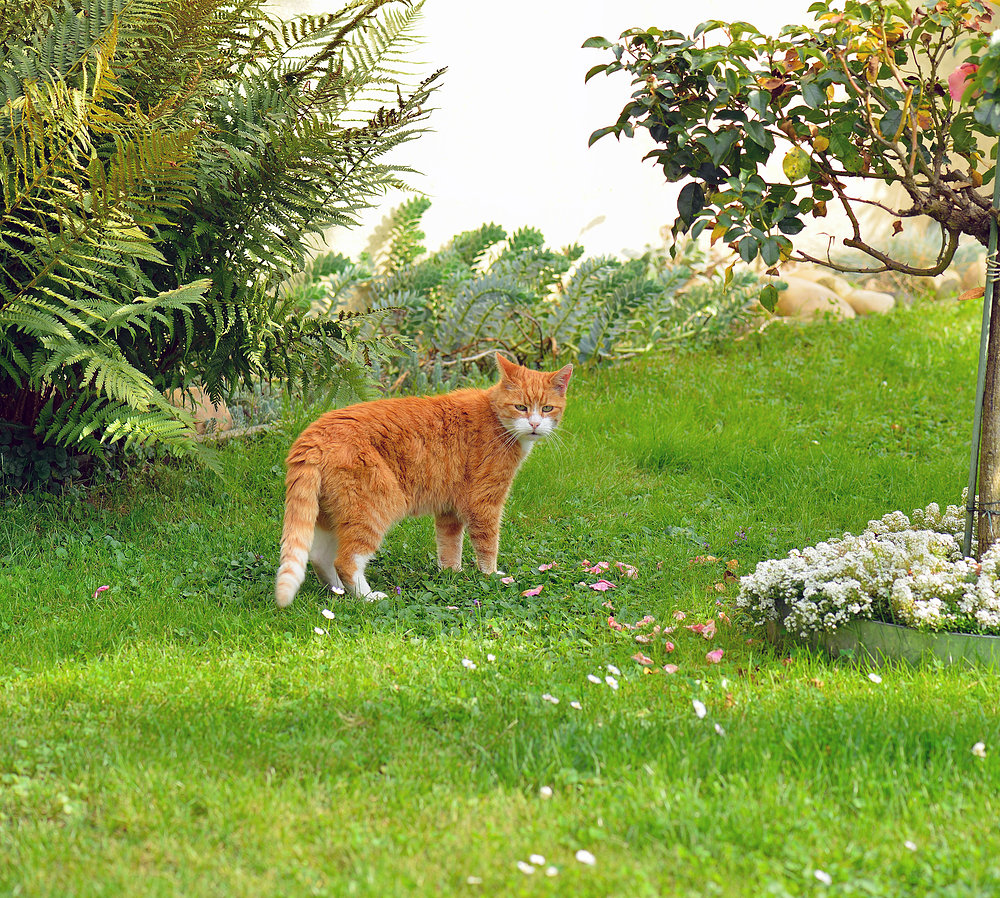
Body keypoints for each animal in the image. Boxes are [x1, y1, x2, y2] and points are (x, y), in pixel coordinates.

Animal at [276, 354, 572, 604]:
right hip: (375, 507)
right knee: (346, 561)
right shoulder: (484, 502)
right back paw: (367, 597)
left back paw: (338, 591)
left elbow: (450, 547)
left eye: (547, 408)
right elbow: (487, 545)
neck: (496, 419)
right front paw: (492, 576)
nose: (534, 424)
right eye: (521, 407)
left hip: (330, 512)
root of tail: (314, 435)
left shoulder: (449, 509)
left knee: (318, 556)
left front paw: (452, 575)